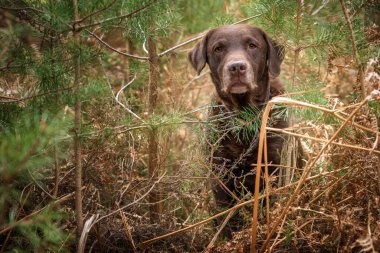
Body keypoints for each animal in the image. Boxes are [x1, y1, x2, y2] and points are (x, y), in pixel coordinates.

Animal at [189, 24, 286, 236]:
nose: (237, 67)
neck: (245, 118)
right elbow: (227, 219)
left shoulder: (276, 169)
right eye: (218, 48)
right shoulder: (220, 176)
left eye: (252, 45)